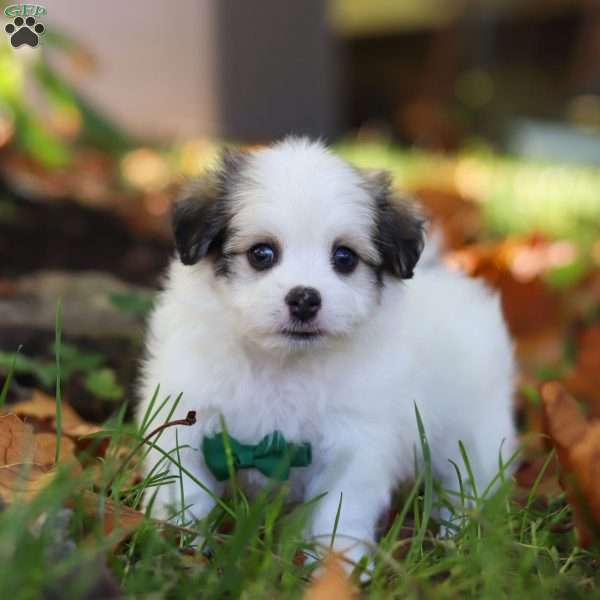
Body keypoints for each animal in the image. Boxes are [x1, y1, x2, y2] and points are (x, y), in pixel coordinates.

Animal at [137, 136, 516, 568]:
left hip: (477, 434)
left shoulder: (355, 445)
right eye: (262, 254)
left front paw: (337, 568)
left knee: (469, 484)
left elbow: (341, 511)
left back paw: (460, 539)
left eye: (344, 257)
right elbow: (183, 490)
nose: (304, 298)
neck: (282, 365)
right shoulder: (186, 420)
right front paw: (175, 547)